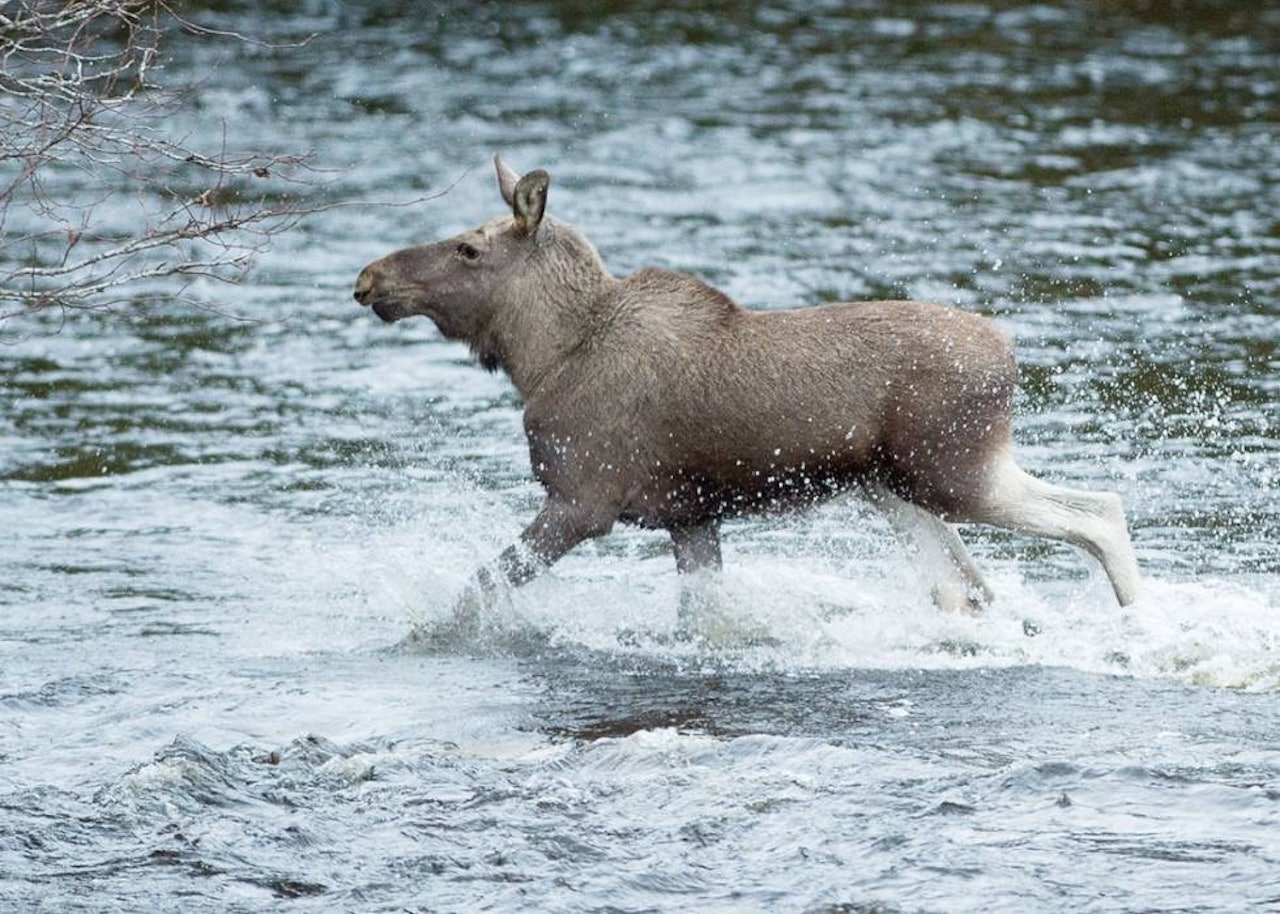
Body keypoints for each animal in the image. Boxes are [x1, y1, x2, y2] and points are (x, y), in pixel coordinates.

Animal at [353, 158, 1141, 627]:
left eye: (468, 249)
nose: (369, 277)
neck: (541, 355)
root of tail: (1009, 355)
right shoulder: (690, 516)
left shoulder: (582, 500)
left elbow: (473, 593)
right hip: (895, 484)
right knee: (968, 583)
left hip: (952, 471)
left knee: (1098, 513)